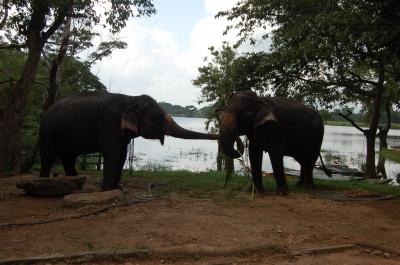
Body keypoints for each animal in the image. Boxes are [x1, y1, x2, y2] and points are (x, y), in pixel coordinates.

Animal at [39, 91, 217, 190]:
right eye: (159, 119)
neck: (131, 100)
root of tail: (47, 110)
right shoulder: (108, 122)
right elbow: (112, 152)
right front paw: (107, 190)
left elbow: (122, 154)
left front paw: (117, 188)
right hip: (48, 130)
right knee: (48, 156)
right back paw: (44, 183)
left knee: (68, 157)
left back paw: (74, 183)